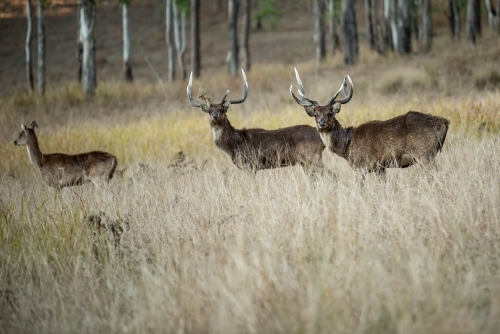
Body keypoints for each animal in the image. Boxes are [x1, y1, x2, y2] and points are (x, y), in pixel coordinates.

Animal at [186, 69, 326, 176]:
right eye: (209, 111)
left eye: (222, 109)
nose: (215, 115)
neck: (233, 145)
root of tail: (321, 138)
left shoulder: (251, 164)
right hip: (305, 162)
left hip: (312, 156)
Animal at [290, 68, 450, 180]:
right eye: (316, 114)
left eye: (330, 113)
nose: (321, 123)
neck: (347, 148)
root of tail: (444, 122)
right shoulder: (380, 167)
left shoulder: (359, 166)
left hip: (424, 152)